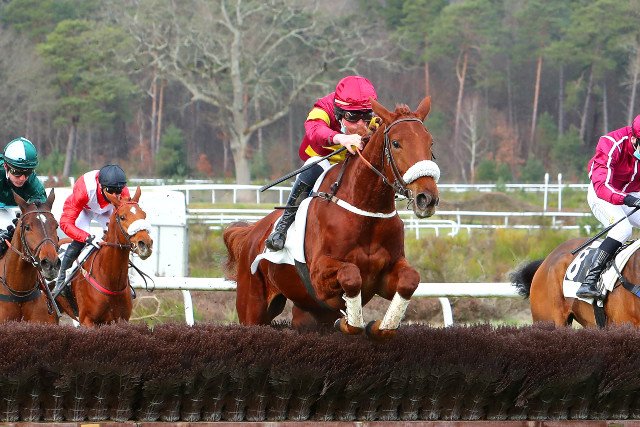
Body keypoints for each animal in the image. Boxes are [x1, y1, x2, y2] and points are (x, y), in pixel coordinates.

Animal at [56, 187, 153, 326]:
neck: (111, 280)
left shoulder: (121, 319)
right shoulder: (87, 321)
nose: (145, 244)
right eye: (122, 217)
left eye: (144, 215)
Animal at [224, 96, 439, 340]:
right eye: (396, 143)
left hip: (303, 313)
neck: (367, 215)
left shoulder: (386, 274)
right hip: (252, 306)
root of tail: (252, 233)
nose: (427, 198)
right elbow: (351, 275)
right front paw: (349, 321)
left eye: (430, 143)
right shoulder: (318, 276)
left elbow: (410, 280)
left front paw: (381, 326)